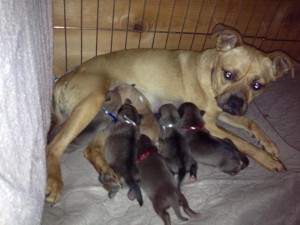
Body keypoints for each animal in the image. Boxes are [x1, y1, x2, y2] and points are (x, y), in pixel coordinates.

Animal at [45, 23, 294, 203]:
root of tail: (63, 79)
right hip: (91, 105)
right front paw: (268, 159)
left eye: (257, 86)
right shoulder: (211, 122)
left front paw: (270, 145)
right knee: (54, 147)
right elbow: (242, 143)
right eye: (228, 74)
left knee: (91, 150)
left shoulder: (222, 111)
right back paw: (55, 183)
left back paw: (109, 173)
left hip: (107, 117)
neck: (210, 75)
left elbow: (251, 123)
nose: (234, 103)